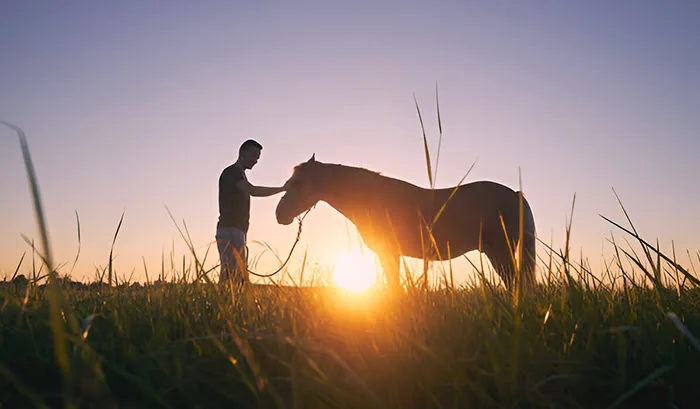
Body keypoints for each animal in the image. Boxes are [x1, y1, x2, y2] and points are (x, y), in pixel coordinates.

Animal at [274, 155, 536, 292]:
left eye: (298, 184)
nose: (280, 214)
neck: (371, 199)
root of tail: (515, 194)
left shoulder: (389, 254)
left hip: (500, 252)